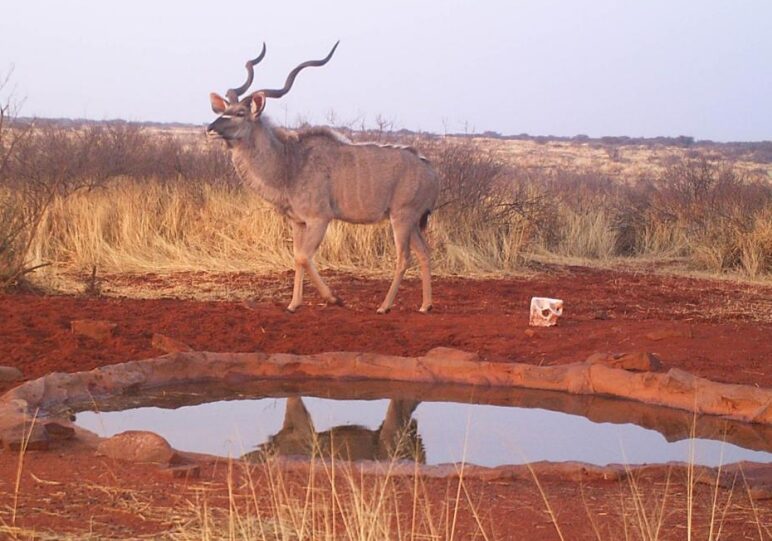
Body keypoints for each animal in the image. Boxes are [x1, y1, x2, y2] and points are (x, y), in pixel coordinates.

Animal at [207, 42, 440, 312]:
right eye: (225, 109)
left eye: (241, 113)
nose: (210, 128)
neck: (290, 163)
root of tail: (430, 170)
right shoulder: (298, 222)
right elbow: (297, 257)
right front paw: (293, 304)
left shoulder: (320, 218)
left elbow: (303, 257)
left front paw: (334, 298)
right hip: (411, 220)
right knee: (424, 252)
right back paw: (425, 306)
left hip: (401, 217)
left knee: (404, 257)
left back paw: (384, 306)